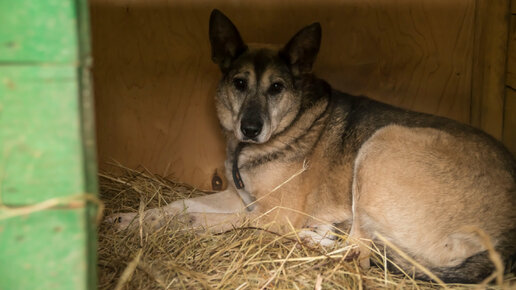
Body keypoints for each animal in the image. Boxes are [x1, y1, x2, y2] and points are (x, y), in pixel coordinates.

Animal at [108, 8, 516, 284]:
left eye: (276, 88)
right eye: (239, 83)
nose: (250, 128)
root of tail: (506, 242)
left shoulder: (272, 212)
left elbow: (202, 219)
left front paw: (167, 226)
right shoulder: (239, 197)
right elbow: (177, 204)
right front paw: (129, 219)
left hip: (380, 146)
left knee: (358, 251)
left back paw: (314, 236)